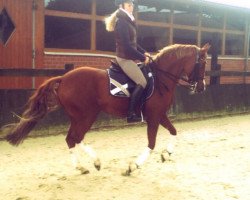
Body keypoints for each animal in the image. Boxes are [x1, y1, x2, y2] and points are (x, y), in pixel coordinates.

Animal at [5, 43, 209, 175]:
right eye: (202, 64)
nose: (201, 87)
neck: (160, 78)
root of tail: (64, 78)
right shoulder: (153, 117)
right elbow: (151, 143)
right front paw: (133, 166)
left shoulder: (160, 114)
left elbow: (174, 132)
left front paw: (167, 154)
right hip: (86, 115)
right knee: (75, 137)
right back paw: (93, 162)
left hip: (79, 116)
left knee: (72, 138)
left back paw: (84, 166)